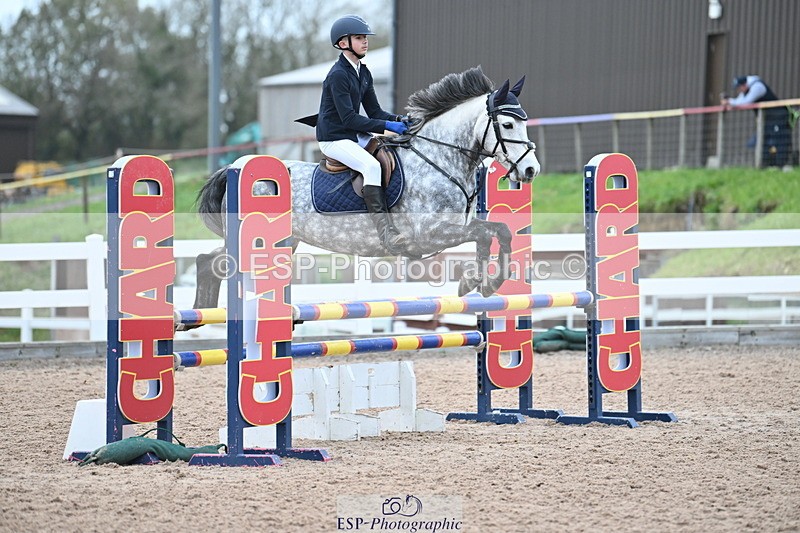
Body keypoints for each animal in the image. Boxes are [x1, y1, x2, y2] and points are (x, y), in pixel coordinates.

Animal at [192, 66, 540, 311]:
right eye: (507, 124)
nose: (530, 170)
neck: (440, 158)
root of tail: (236, 167)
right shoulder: (429, 233)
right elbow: (487, 233)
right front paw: (477, 281)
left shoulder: (457, 227)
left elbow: (496, 233)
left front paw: (482, 283)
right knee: (217, 263)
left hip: (284, 242)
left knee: (209, 260)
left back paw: (201, 313)